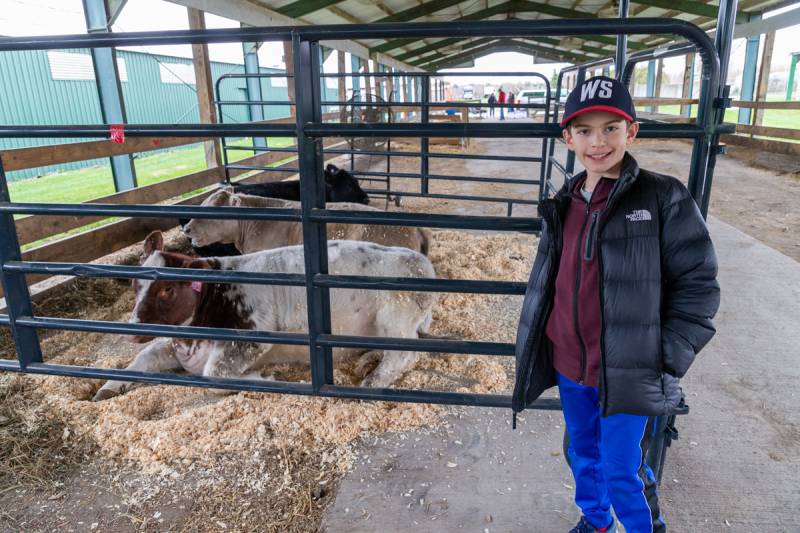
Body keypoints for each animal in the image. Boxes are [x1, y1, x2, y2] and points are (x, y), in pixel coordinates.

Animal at [92, 229, 438, 400]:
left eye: (167, 289)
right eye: (135, 283)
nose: (134, 329)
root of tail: (422, 262)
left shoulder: (251, 338)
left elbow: (214, 375)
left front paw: (265, 378)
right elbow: (143, 358)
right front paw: (106, 388)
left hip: (394, 316)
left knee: (405, 353)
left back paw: (371, 381)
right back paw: (367, 360)